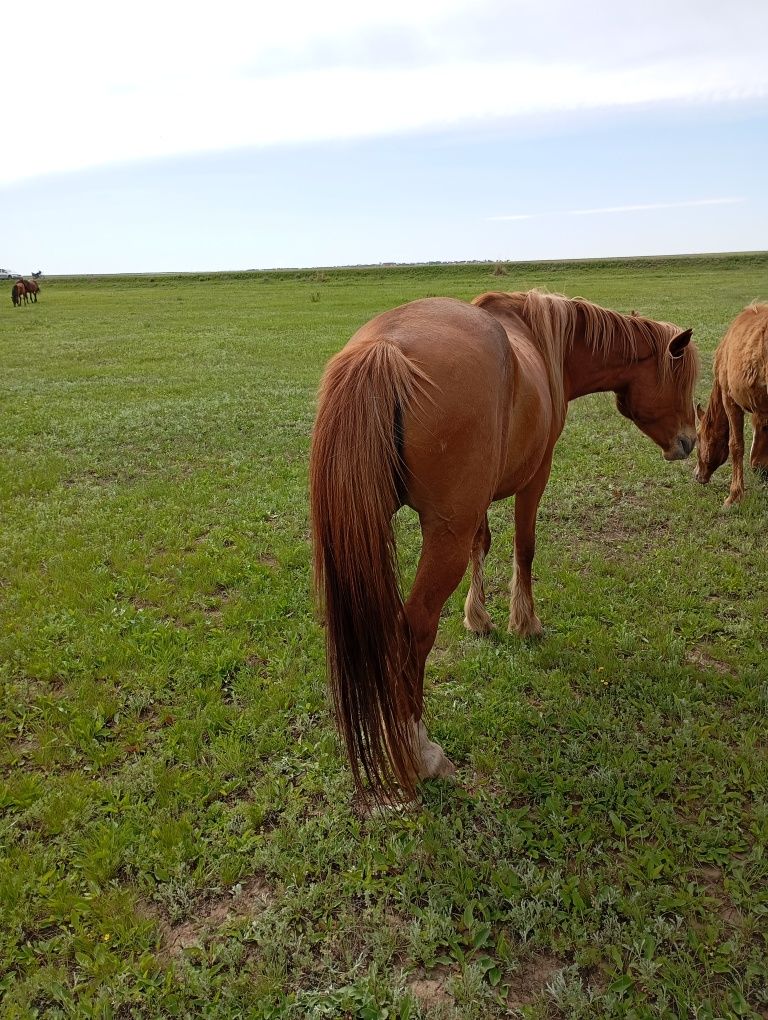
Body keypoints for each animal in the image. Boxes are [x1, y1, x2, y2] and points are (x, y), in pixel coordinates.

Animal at [308, 291, 697, 799]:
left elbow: (484, 545)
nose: (690, 442)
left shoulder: (478, 504)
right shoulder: (537, 475)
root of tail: (384, 349)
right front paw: (525, 622)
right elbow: (524, 547)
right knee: (413, 629)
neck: (542, 340)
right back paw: (420, 753)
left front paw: (478, 618)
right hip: (443, 536)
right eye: (683, 379)